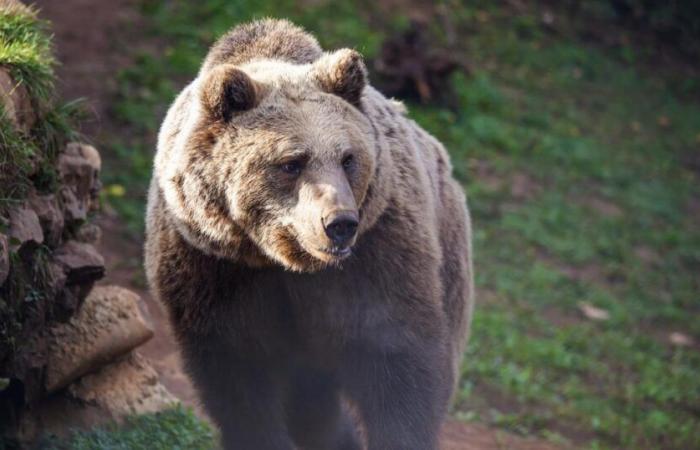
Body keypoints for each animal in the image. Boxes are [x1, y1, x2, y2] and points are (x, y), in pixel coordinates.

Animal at [146, 18, 476, 450]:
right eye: (292, 162)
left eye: (348, 158)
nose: (339, 223)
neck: (283, 261)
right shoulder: (213, 268)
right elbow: (239, 380)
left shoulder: (379, 256)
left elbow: (400, 363)